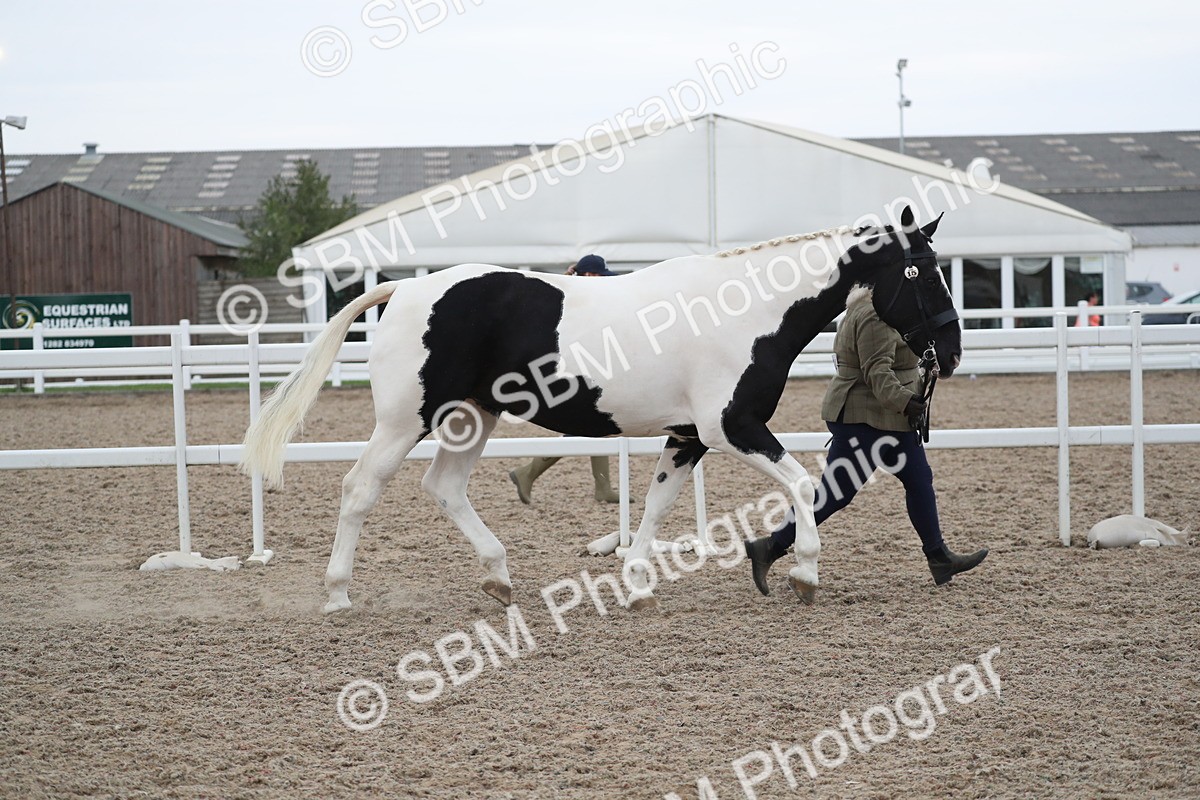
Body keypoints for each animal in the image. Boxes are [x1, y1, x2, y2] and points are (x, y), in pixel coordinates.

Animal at [240, 205, 961, 614]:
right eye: (921, 272)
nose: (949, 352)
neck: (745, 311)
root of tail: (404, 290)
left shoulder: (688, 436)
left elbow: (658, 505)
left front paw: (637, 583)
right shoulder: (731, 427)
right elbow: (804, 483)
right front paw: (806, 575)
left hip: (473, 417)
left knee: (443, 487)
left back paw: (499, 579)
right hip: (405, 420)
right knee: (361, 488)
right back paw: (338, 595)